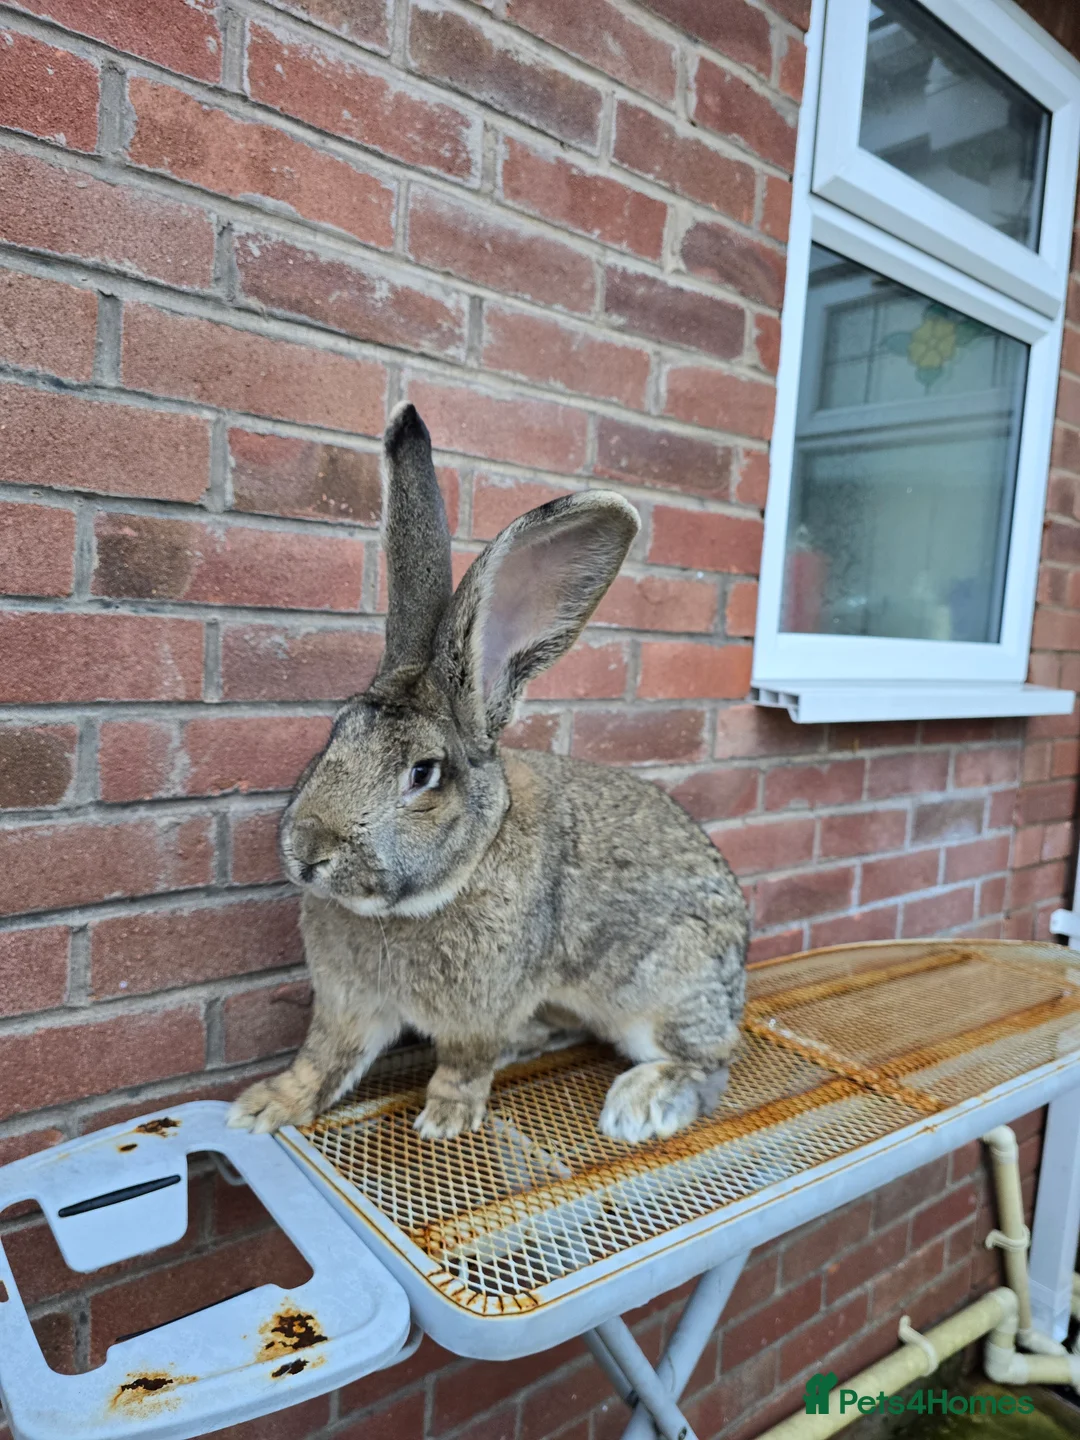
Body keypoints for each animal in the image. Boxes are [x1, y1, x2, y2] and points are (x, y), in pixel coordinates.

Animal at [228, 402, 749, 1145]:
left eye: (423, 774)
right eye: (335, 735)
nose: (307, 854)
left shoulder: (481, 1009)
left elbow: (464, 1061)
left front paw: (445, 1119)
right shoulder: (346, 1008)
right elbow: (322, 1060)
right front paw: (265, 1106)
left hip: (666, 988)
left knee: (710, 1059)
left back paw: (641, 1102)